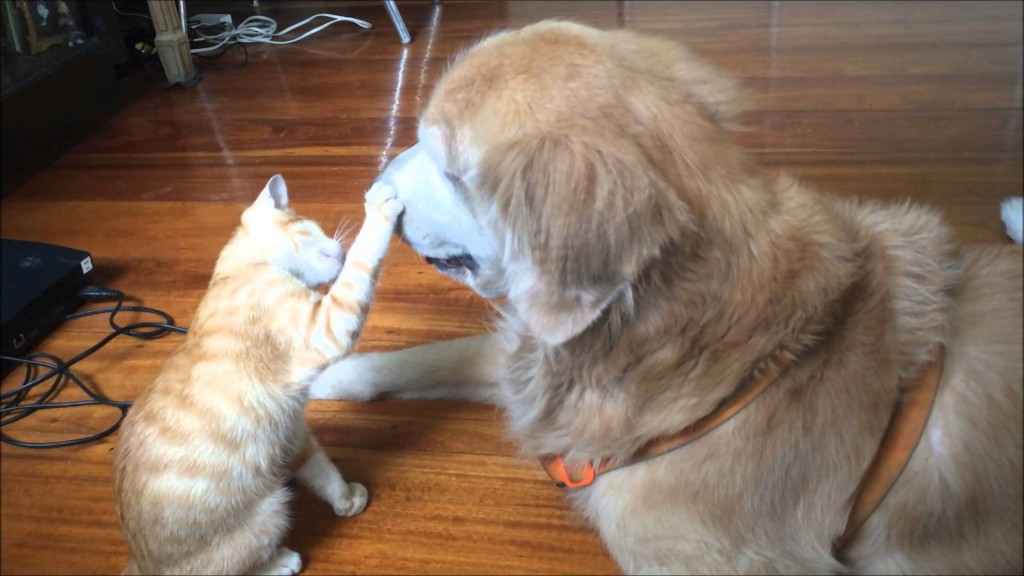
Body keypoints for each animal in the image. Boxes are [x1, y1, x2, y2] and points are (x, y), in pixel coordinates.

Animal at [116, 176, 403, 573]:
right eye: (313, 228)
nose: (338, 247)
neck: (235, 273)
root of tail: (139, 563)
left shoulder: (292, 433)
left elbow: (321, 470)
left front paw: (344, 498)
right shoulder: (325, 326)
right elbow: (362, 262)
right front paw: (377, 209)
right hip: (272, 510)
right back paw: (281, 561)